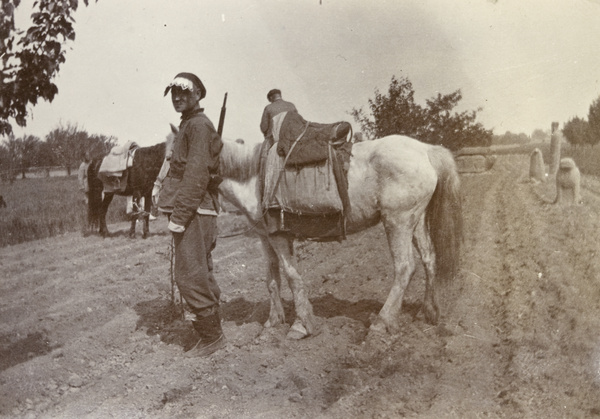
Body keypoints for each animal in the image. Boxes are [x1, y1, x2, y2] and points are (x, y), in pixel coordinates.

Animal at [217, 136, 464, 340]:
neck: (256, 176)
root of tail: (426, 150)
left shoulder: (279, 236)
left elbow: (291, 277)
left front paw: (301, 325)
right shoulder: (265, 237)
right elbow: (271, 279)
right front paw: (273, 321)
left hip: (398, 222)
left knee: (405, 268)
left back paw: (382, 322)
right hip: (416, 221)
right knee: (429, 258)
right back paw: (427, 312)